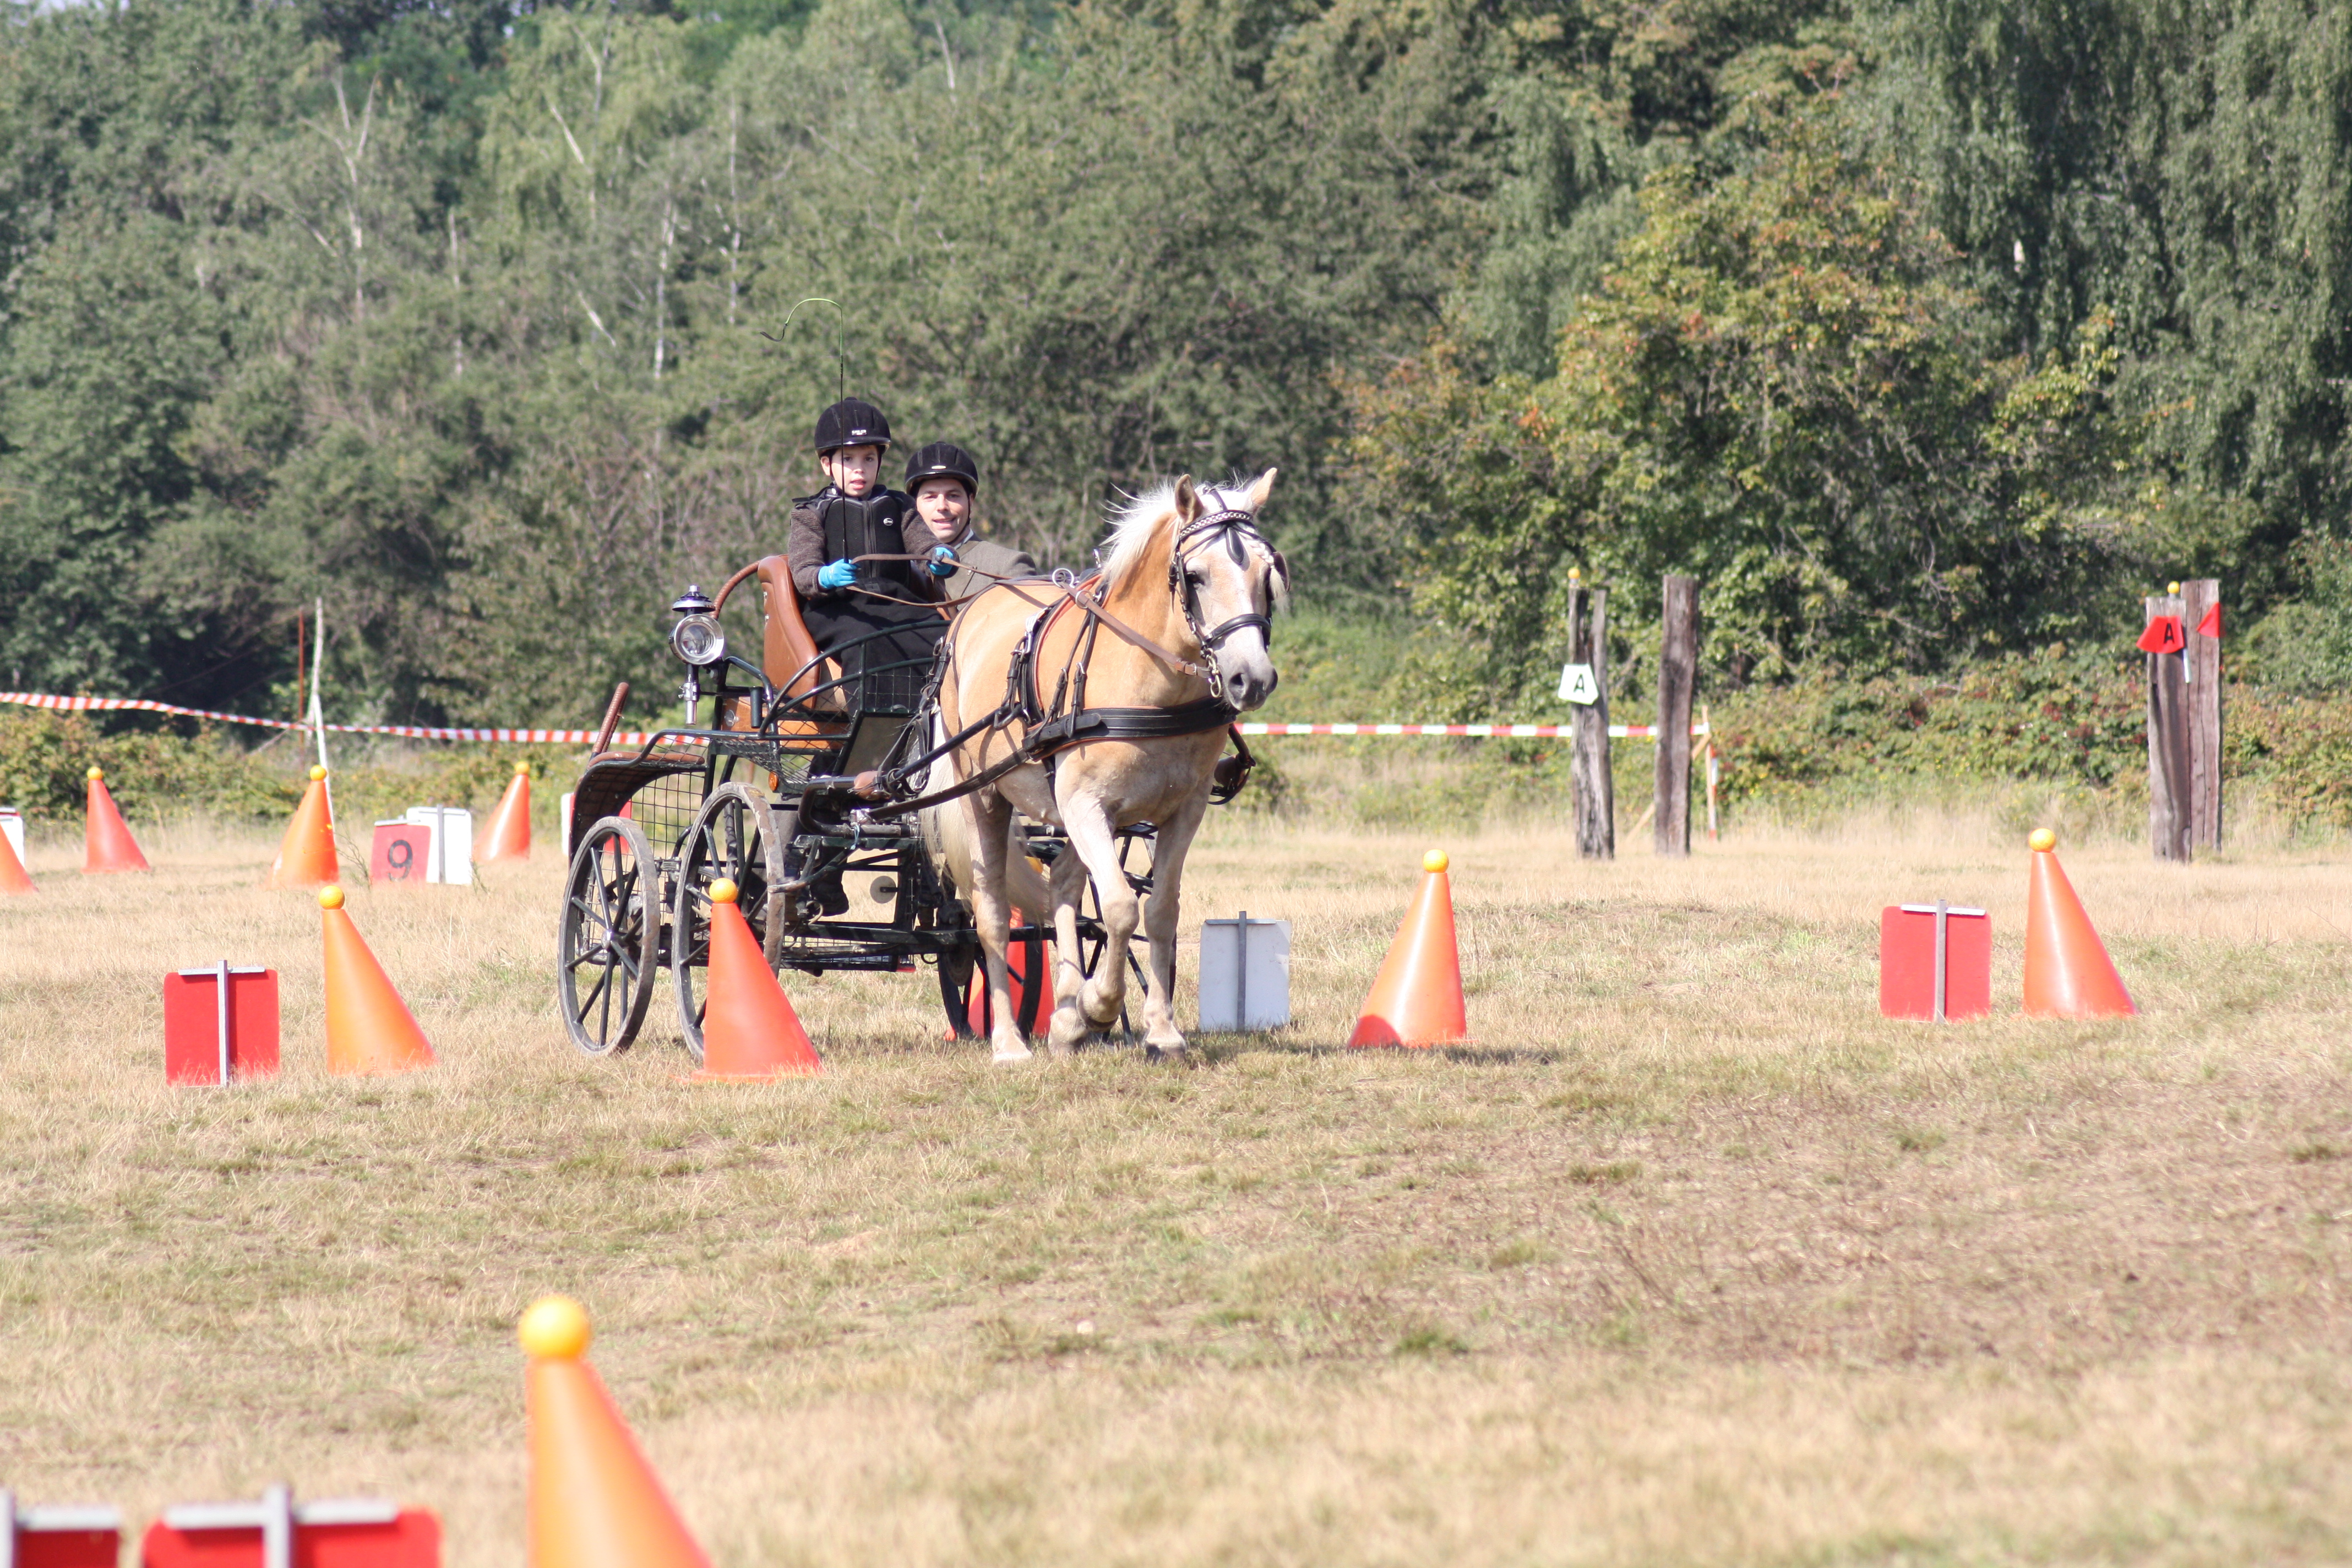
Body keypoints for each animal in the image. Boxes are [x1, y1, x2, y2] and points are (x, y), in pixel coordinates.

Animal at [931, 472, 1289, 1062]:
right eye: (1195, 576)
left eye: (1268, 573)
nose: (1251, 678)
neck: (1151, 686)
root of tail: (970, 612)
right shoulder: (1085, 804)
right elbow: (1120, 907)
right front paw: (1099, 1007)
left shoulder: (1182, 812)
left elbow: (1160, 910)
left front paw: (1159, 1030)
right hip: (986, 795)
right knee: (992, 917)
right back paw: (1009, 1040)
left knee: (1063, 885)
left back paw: (1064, 1015)